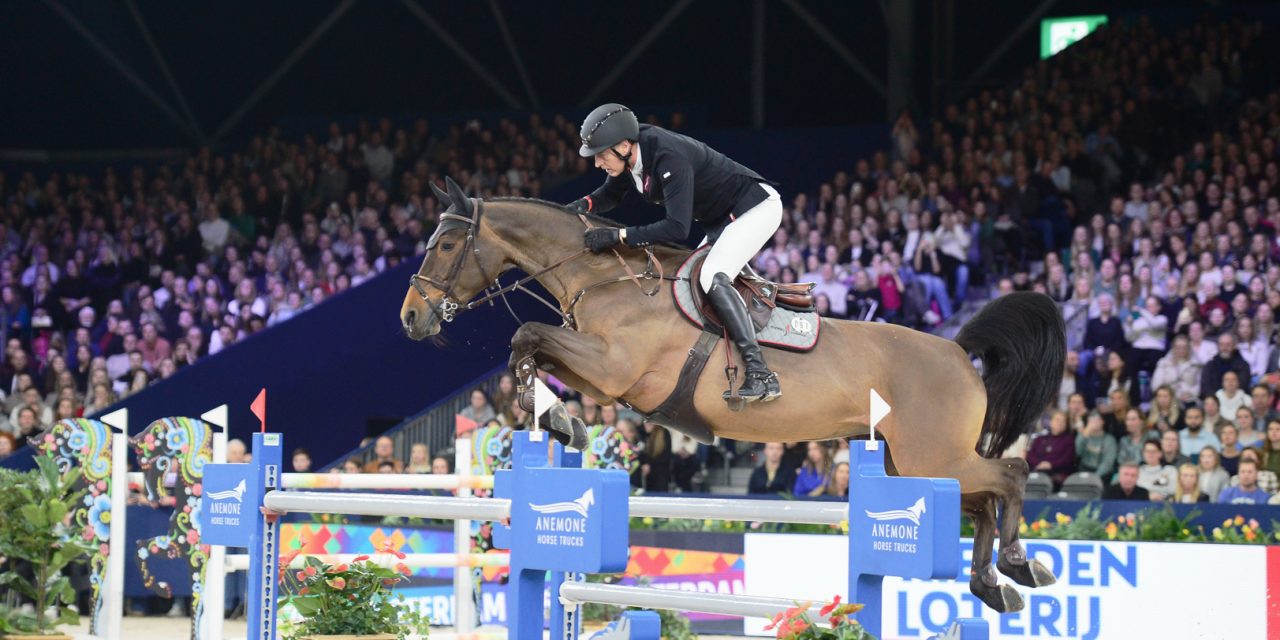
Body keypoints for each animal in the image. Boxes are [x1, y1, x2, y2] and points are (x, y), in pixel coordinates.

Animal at [399, 180, 1059, 614]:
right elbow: (532, 347)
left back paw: (1020, 562)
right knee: (980, 502)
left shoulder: (614, 370)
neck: (603, 276)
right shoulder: (596, 369)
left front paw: (560, 418)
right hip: (913, 464)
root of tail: (958, 351)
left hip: (934, 456)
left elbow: (527, 335)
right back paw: (993, 585)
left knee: (1010, 475)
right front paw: (561, 419)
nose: (410, 318)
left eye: (444, 246)